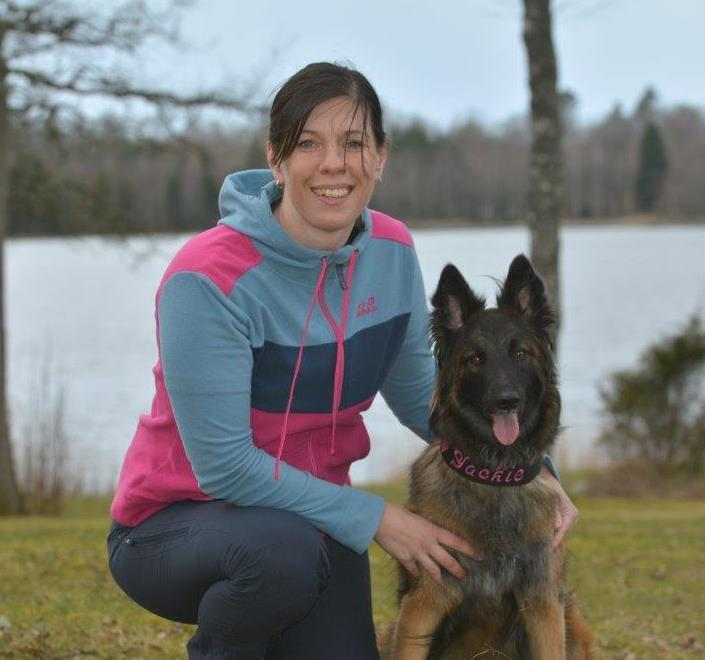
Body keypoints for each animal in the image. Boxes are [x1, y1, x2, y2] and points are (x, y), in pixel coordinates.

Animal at [380, 255, 592, 656]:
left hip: (573, 620)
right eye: (476, 359)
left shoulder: (543, 603)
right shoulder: (424, 602)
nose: (506, 400)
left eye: (521, 353)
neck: (495, 473)